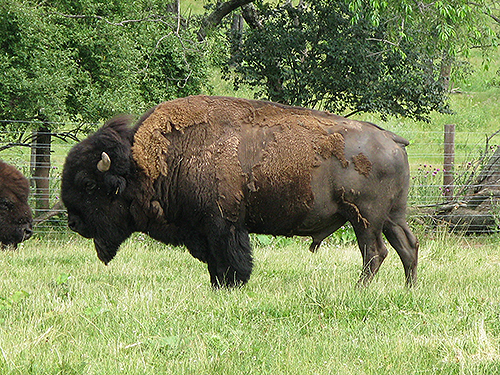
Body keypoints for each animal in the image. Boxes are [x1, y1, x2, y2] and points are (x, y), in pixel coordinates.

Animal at [62, 96, 420, 288]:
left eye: (89, 184)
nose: (74, 223)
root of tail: (392, 139)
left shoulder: (223, 224)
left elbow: (231, 260)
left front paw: (232, 285)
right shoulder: (206, 231)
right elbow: (215, 264)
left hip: (365, 218)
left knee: (374, 253)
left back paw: (360, 290)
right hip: (392, 216)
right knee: (407, 246)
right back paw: (409, 289)